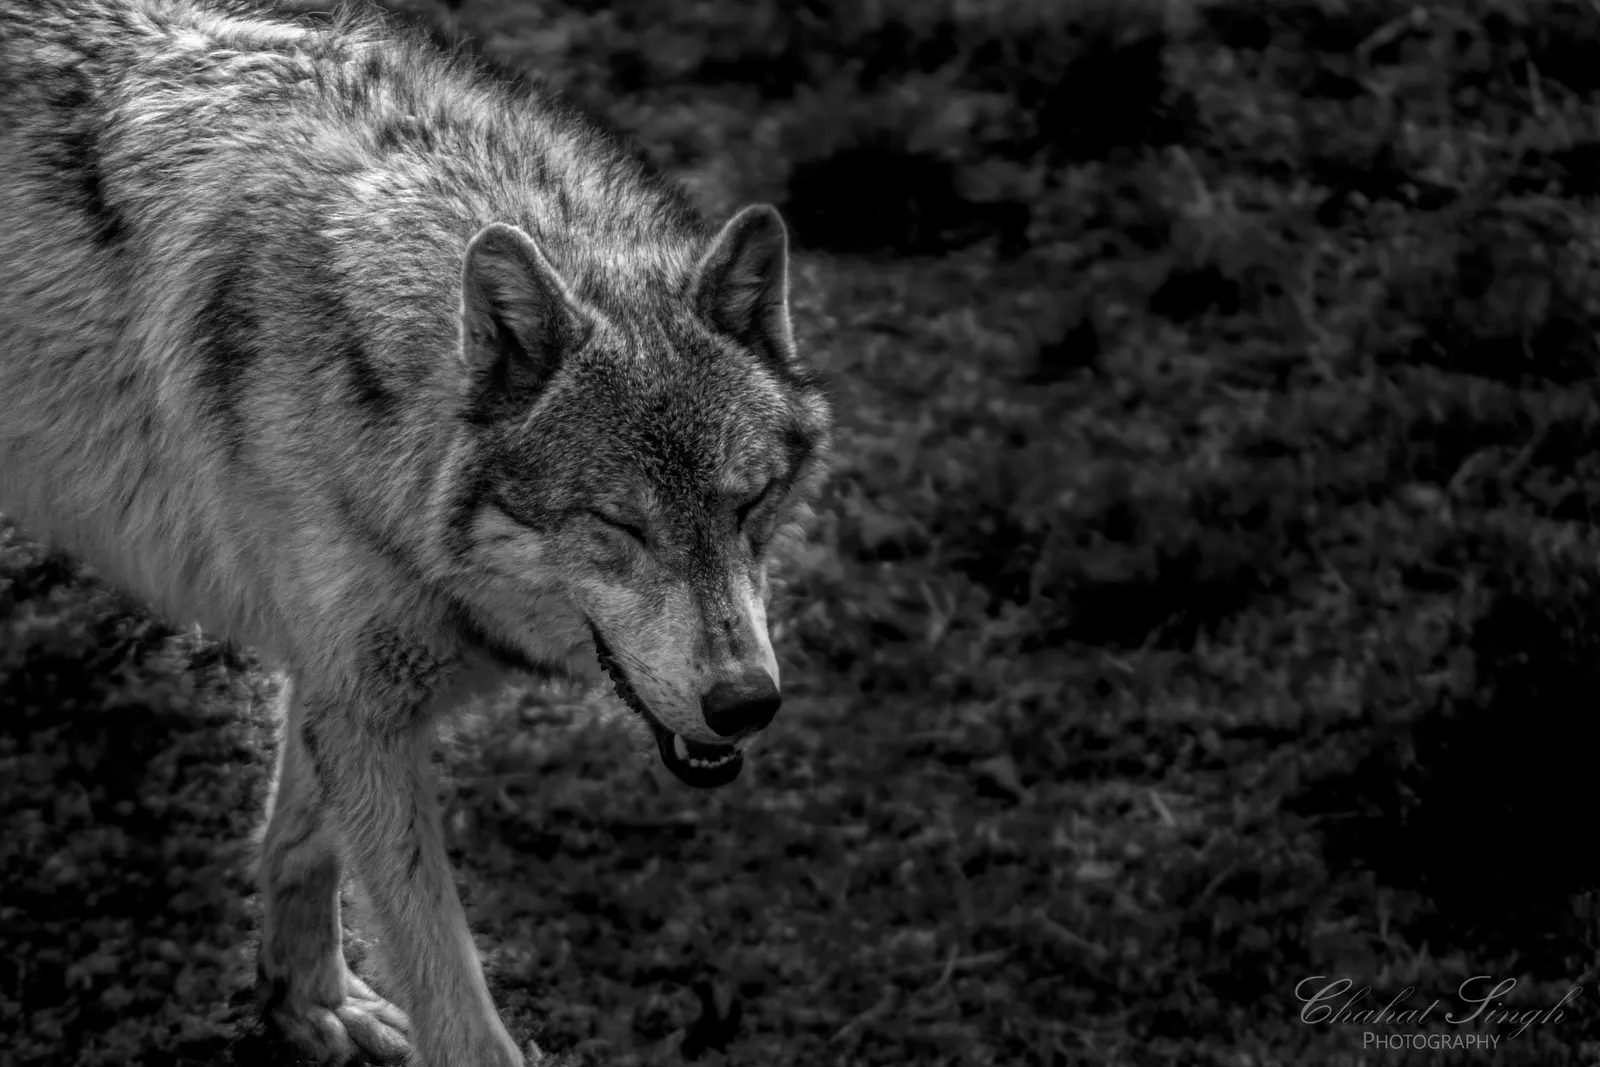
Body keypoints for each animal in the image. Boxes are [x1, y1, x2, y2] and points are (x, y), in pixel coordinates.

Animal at [0, 1, 832, 1064]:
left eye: (748, 503)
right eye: (617, 523)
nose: (745, 704)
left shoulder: (343, 680)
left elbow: (303, 850)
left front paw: (309, 1003)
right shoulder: (362, 695)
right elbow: (457, 1002)